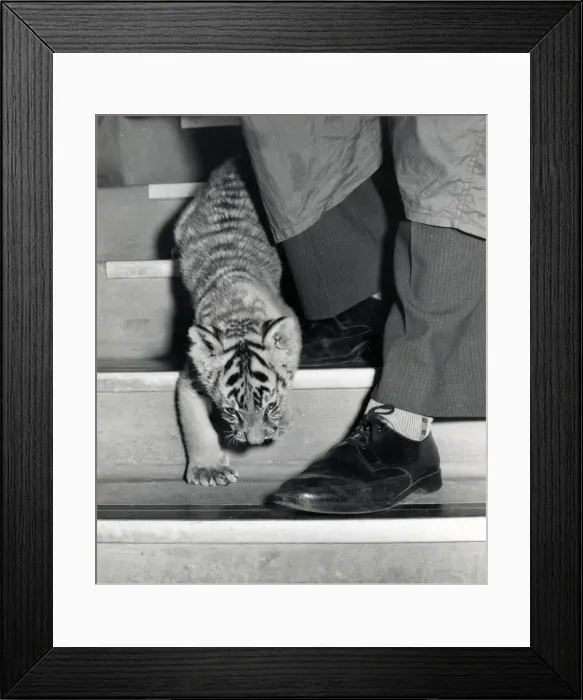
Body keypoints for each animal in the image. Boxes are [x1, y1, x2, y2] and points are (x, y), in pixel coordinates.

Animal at [174, 158, 301, 486]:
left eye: (270, 406)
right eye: (231, 411)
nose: (255, 442)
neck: (237, 314)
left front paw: (284, 418)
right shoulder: (190, 378)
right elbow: (195, 427)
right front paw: (208, 469)